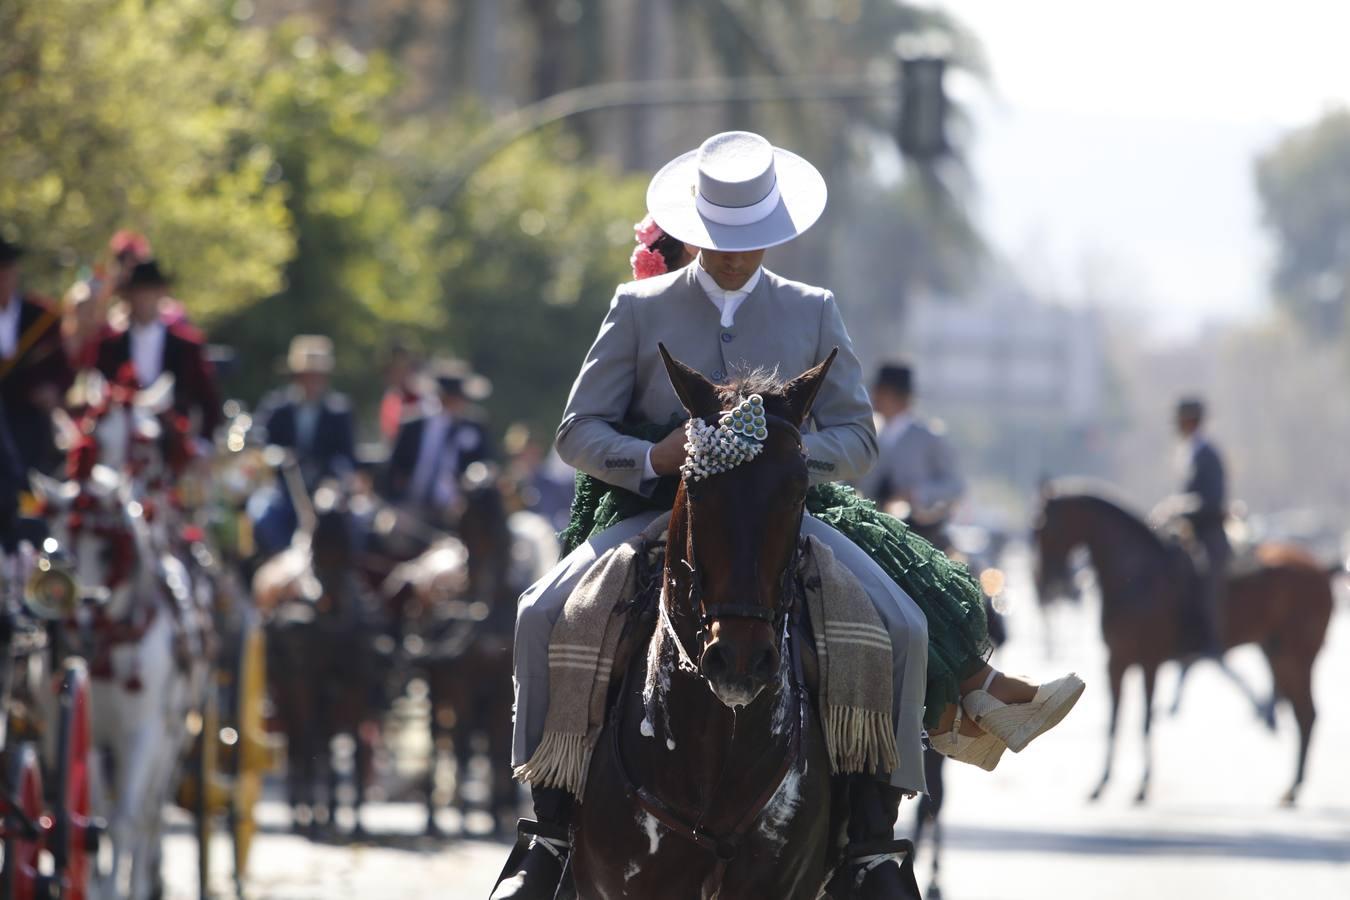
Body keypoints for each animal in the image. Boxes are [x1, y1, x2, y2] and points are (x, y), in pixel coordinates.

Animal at [32, 464, 207, 900]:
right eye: (53, 544)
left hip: (174, 736)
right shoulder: (84, 730)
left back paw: (145, 881)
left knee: (150, 811)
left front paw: (117, 889)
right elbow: (92, 813)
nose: (80, 628)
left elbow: (127, 819)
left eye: (110, 550)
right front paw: (92, 885)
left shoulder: (143, 732)